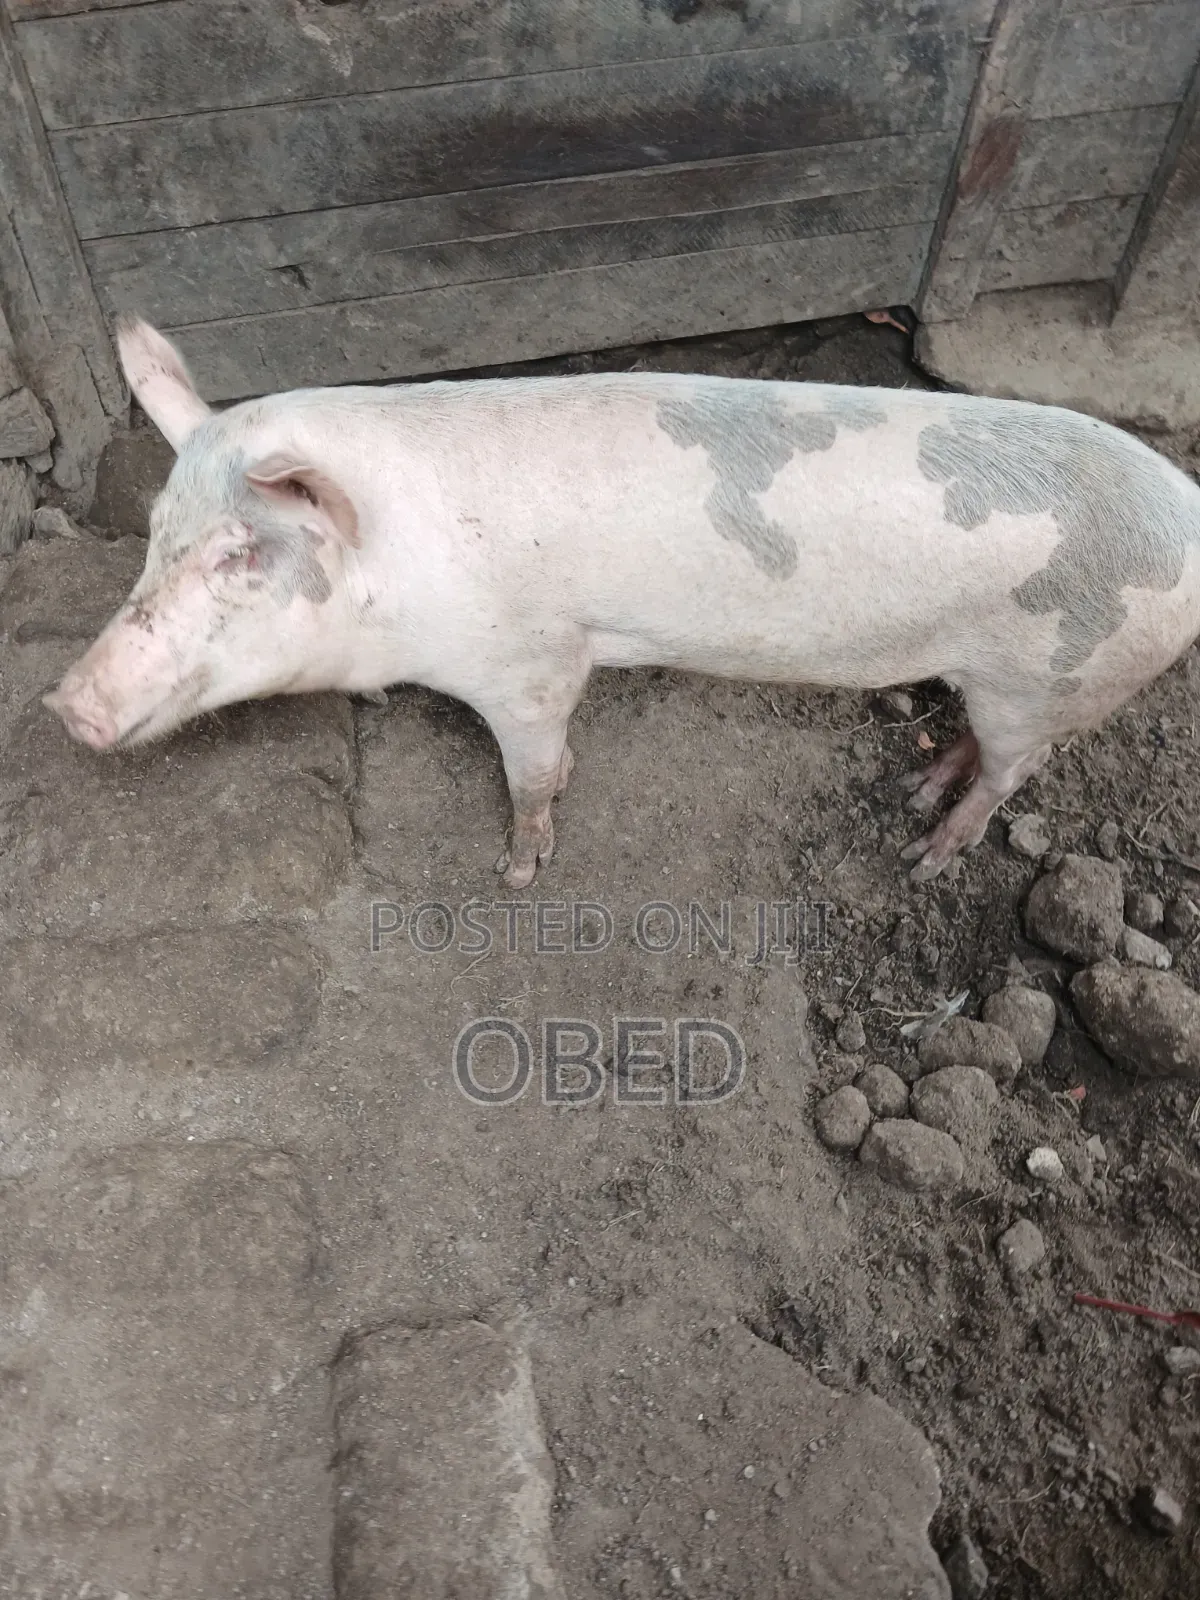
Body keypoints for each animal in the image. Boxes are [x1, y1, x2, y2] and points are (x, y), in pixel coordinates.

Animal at [46, 319, 1200, 889]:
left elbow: (531, 771)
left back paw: (920, 857)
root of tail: (1186, 509)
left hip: (1054, 677)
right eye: (156, 533)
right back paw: (917, 794)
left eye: (241, 552)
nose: (65, 703)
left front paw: (517, 872)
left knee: (1012, 775)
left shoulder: (527, 663)